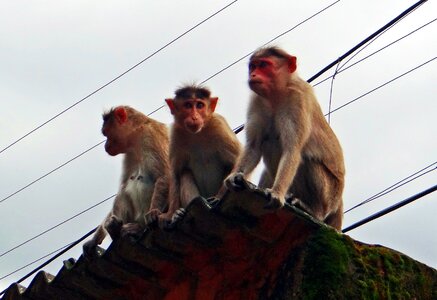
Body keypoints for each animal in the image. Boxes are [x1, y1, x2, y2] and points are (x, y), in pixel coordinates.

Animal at [82, 106, 169, 258]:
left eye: (106, 133)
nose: (105, 145)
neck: (136, 136)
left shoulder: (150, 136)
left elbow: (165, 174)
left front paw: (153, 213)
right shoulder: (129, 153)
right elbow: (123, 186)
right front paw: (94, 240)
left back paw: (138, 229)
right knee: (123, 192)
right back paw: (115, 230)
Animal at [158, 84, 242, 227]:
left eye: (199, 105)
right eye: (187, 105)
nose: (194, 117)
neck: (197, 133)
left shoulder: (219, 125)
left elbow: (239, 158)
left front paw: (219, 197)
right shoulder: (175, 134)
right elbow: (175, 173)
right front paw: (173, 213)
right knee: (185, 173)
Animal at [225, 46, 344, 230]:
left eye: (263, 65)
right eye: (253, 66)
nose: (253, 75)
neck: (276, 95)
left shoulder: (298, 100)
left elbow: (292, 149)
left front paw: (277, 193)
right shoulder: (257, 101)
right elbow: (254, 146)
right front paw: (234, 177)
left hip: (330, 195)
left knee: (307, 160)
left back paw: (313, 210)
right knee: (269, 143)